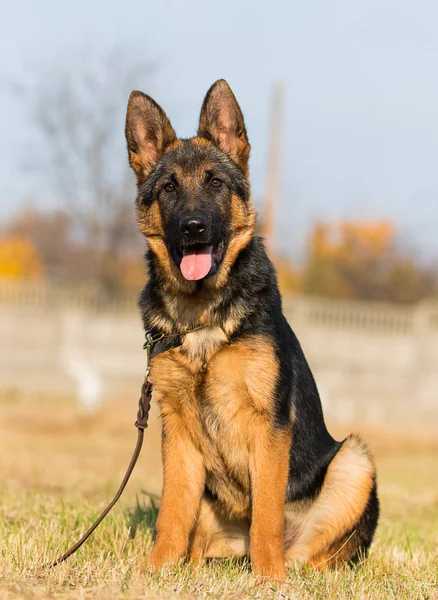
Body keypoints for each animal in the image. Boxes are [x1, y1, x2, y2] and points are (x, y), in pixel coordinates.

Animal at [125, 79, 378, 580]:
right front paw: (156, 570)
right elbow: (171, 513)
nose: (193, 228)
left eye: (215, 183)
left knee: (313, 555)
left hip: (354, 461)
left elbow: (265, 513)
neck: (202, 313)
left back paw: (288, 571)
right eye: (168, 188)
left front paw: (268, 579)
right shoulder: (176, 430)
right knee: (197, 542)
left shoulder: (269, 426)